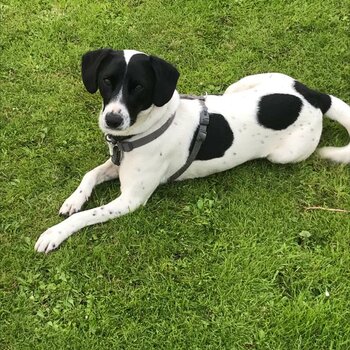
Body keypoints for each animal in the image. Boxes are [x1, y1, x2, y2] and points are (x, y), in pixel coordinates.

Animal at [33, 48, 350, 252]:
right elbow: (89, 175)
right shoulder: (116, 163)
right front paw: (74, 199)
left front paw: (54, 233)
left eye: (139, 87)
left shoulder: (131, 200)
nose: (112, 120)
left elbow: (86, 216)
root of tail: (314, 96)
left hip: (284, 154)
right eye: (107, 80)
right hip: (243, 83)